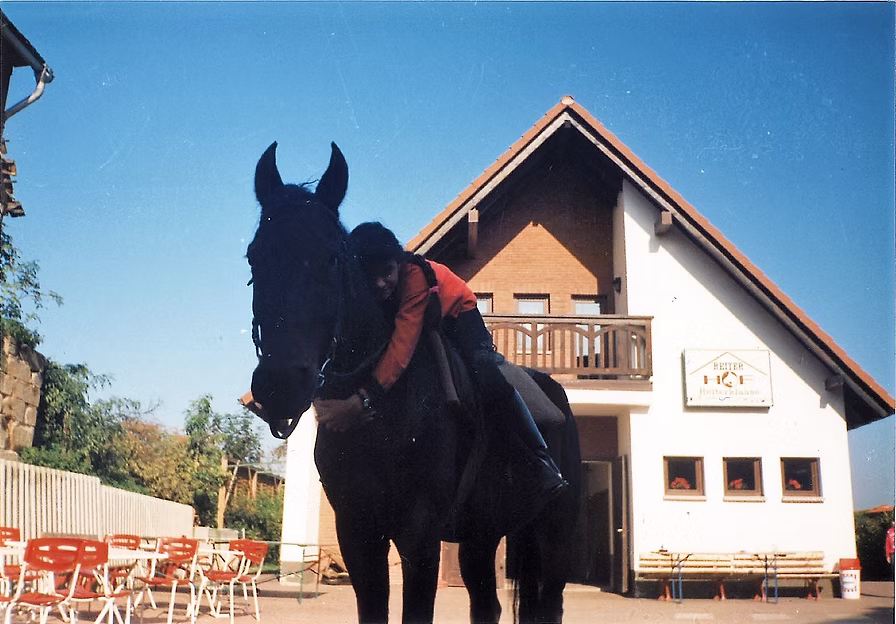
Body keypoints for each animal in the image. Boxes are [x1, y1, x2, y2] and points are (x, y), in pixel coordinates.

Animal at [247, 141, 582, 624]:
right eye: (254, 255)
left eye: (332, 258)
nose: (280, 384)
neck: (382, 415)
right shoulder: (357, 533)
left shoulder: (419, 537)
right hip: (481, 537)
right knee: (488, 604)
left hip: (554, 536)